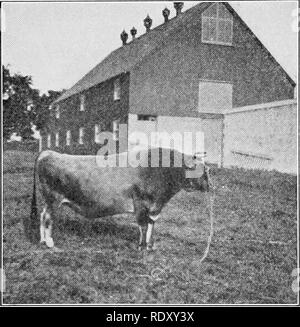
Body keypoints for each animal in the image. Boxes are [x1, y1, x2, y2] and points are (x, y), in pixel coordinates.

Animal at [23, 148, 210, 251]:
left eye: (207, 169)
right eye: (199, 170)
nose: (210, 186)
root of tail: (49, 152)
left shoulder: (153, 207)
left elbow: (151, 225)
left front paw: (150, 246)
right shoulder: (141, 203)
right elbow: (143, 226)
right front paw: (141, 247)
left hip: (49, 200)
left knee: (42, 217)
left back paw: (42, 240)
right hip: (53, 198)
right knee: (48, 219)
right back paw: (50, 243)